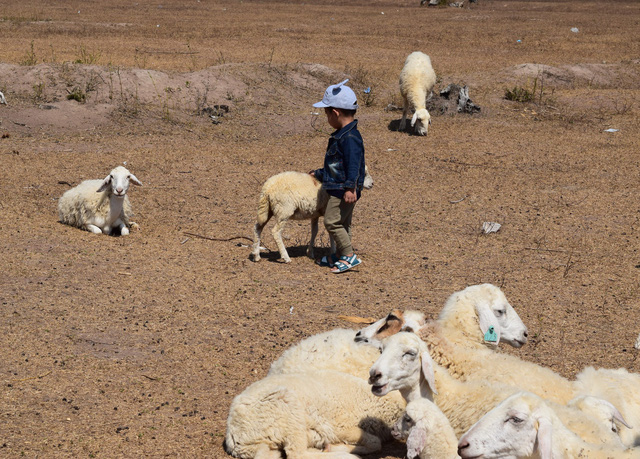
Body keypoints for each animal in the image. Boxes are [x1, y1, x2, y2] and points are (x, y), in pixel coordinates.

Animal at [225, 370, 404, 459]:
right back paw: (341, 455)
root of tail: (235, 440)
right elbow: (375, 443)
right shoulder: (340, 426)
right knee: (296, 454)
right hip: (285, 405)